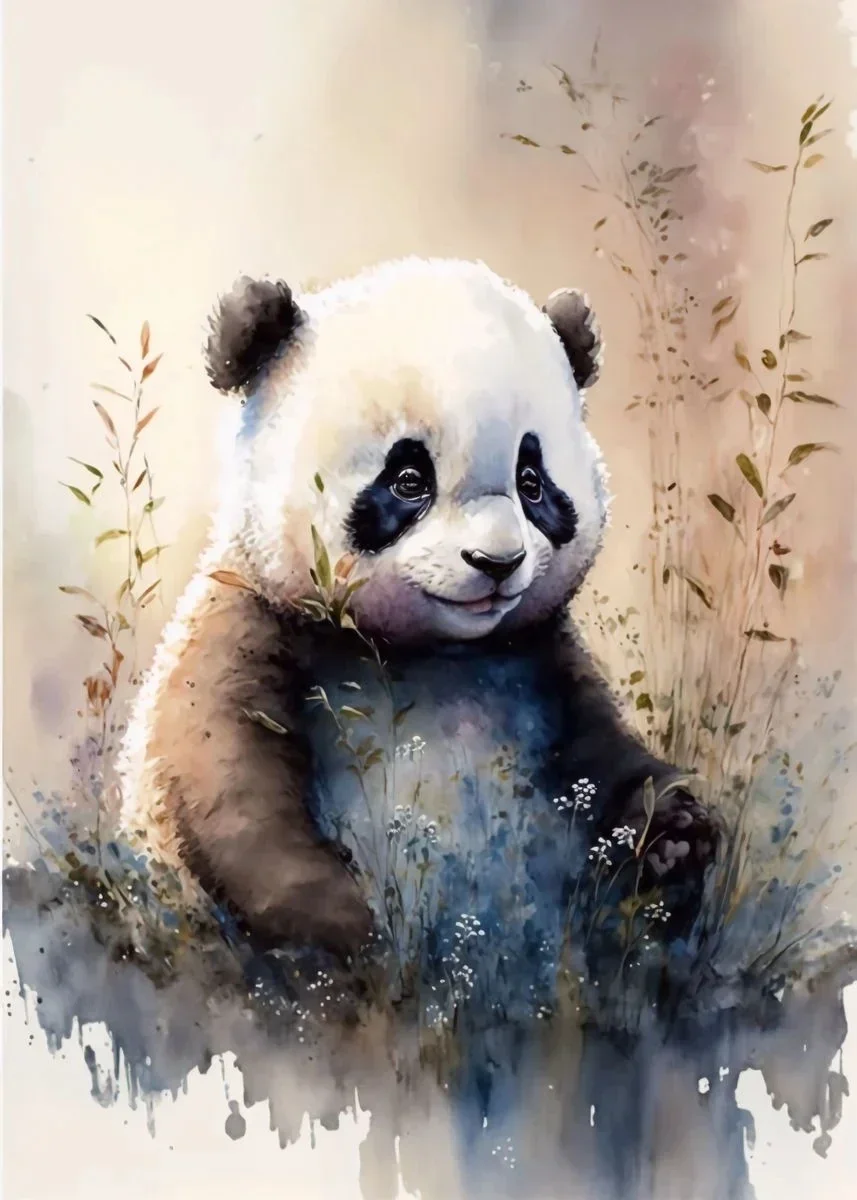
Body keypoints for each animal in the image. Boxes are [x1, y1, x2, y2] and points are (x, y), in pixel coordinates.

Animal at [119, 256, 720, 985]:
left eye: (532, 482)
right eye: (408, 480)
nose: (497, 562)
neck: (427, 656)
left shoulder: (541, 663)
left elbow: (603, 758)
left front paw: (675, 837)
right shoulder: (252, 628)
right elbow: (221, 781)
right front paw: (342, 925)